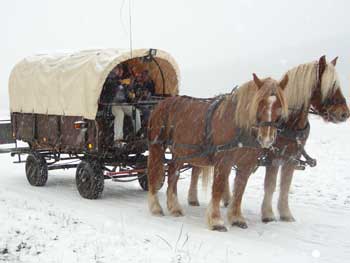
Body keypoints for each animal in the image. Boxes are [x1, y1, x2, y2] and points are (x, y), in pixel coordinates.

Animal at [147, 73, 288, 231]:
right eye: (260, 102)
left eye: (279, 105)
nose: (267, 138)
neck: (237, 125)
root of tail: (160, 104)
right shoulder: (223, 162)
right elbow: (218, 188)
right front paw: (216, 221)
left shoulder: (246, 164)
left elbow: (239, 191)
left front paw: (237, 218)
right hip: (157, 146)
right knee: (153, 173)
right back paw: (156, 207)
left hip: (180, 152)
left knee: (172, 174)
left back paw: (174, 207)